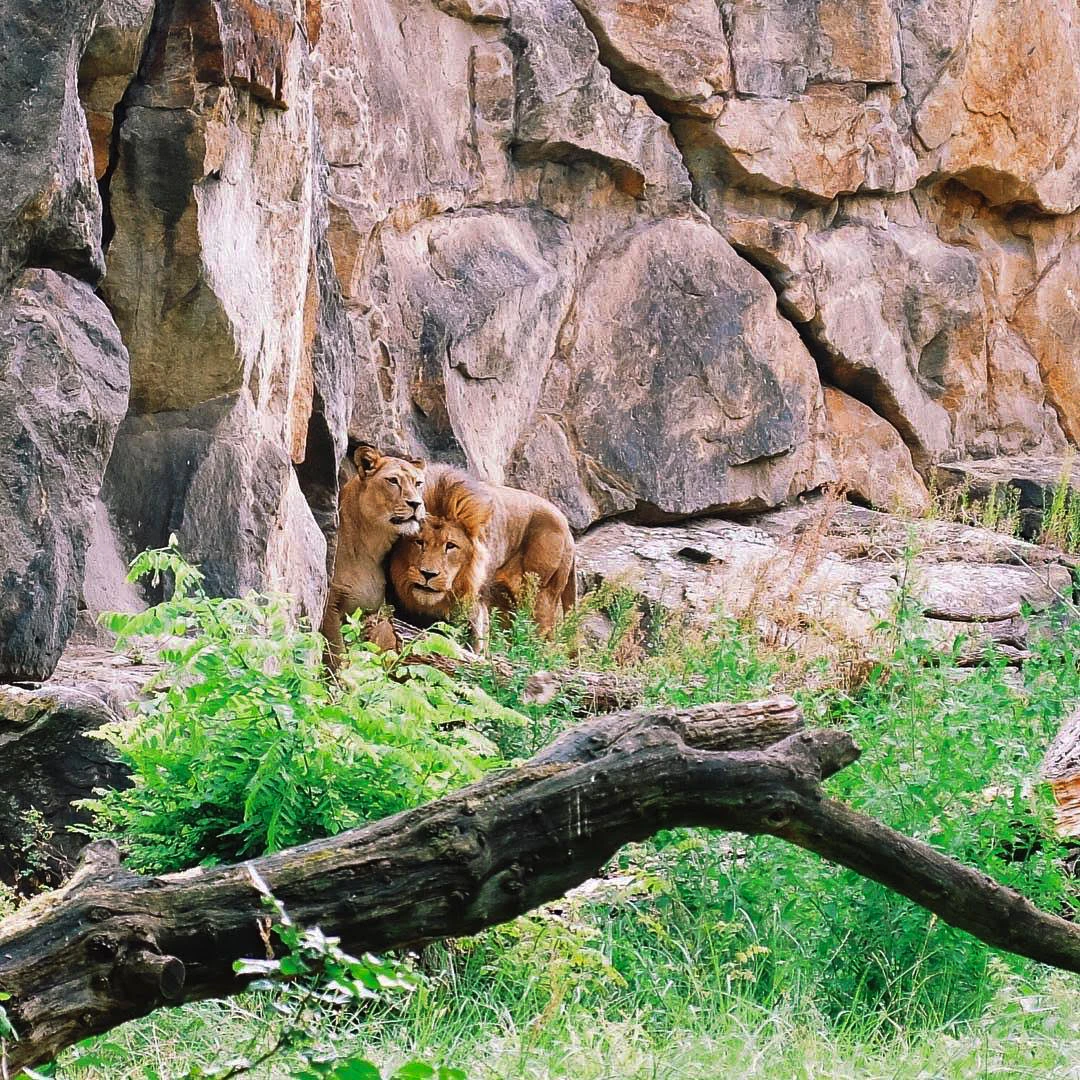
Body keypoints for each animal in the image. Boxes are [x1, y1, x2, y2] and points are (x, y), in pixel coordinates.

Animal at [320, 444, 426, 668]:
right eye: (393, 481)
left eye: (418, 483)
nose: (416, 503)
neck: (370, 545)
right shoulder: (330, 606)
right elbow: (337, 654)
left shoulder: (369, 611)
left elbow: (366, 649)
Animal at [388, 464, 576, 643]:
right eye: (419, 542)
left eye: (450, 546)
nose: (428, 574)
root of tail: (568, 529)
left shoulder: (476, 602)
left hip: (540, 597)